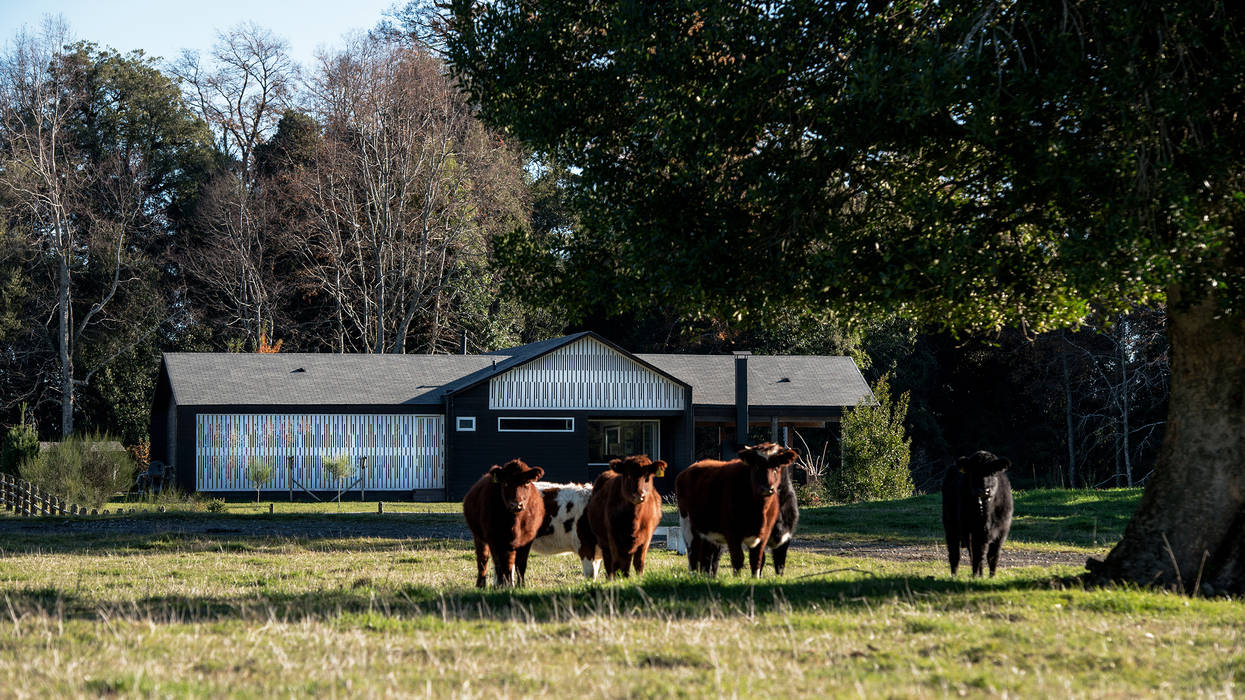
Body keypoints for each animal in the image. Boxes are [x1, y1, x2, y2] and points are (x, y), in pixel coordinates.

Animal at [463, 455, 545, 585]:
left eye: (527, 482)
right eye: (505, 483)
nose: (516, 504)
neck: (515, 522)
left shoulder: (527, 540)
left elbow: (520, 565)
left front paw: (520, 585)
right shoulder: (494, 539)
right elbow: (499, 564)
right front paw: (501, 585)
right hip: (479, 536)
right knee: (483, 561)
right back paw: (482, 584)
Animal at [677, 443, 801, 575]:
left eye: (778, 466)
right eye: (756, 465)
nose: (767, 488)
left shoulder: (780, 539)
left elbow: (774, 564)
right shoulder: (733, 534)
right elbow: (739, 560)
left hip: (709, 535)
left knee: (709, 559)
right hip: (688, 526)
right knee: (693, 555)